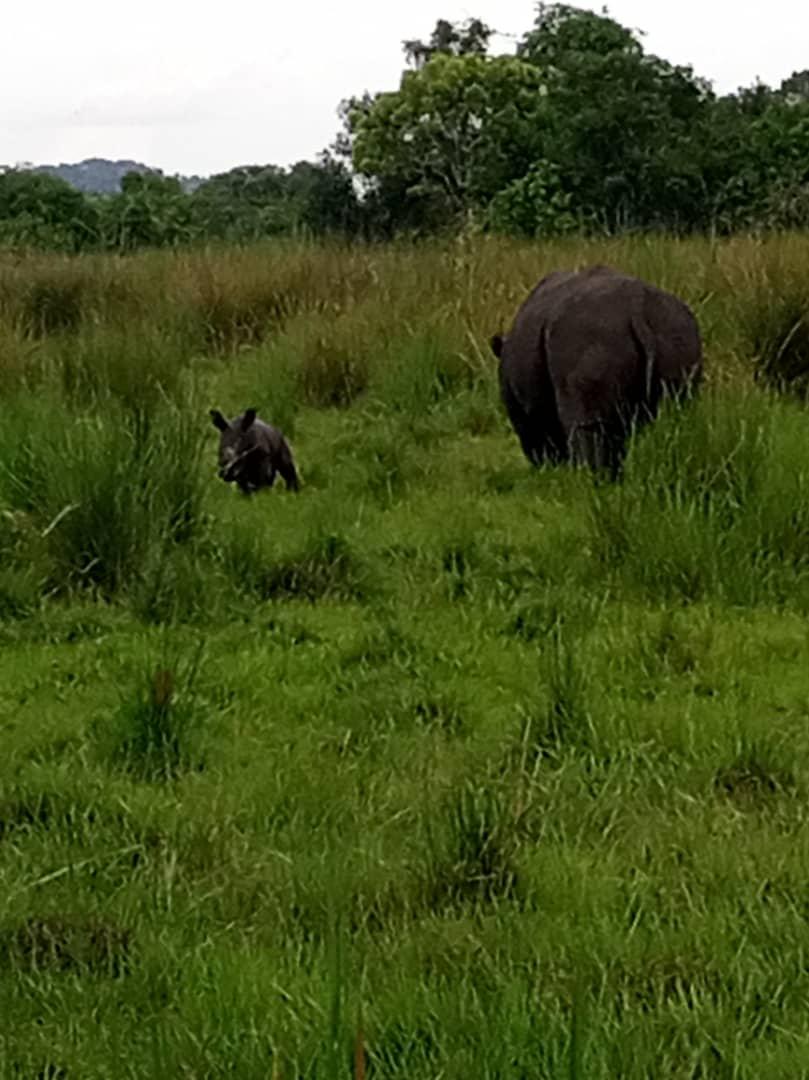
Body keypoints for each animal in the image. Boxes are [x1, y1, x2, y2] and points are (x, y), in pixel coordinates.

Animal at [490, 265, 703, 476]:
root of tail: (638, 308)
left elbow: (533, 430)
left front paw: (549, 469)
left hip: (590, 337)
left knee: (586, 422)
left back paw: (588, 477)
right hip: (677, 333)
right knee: (675, 412)